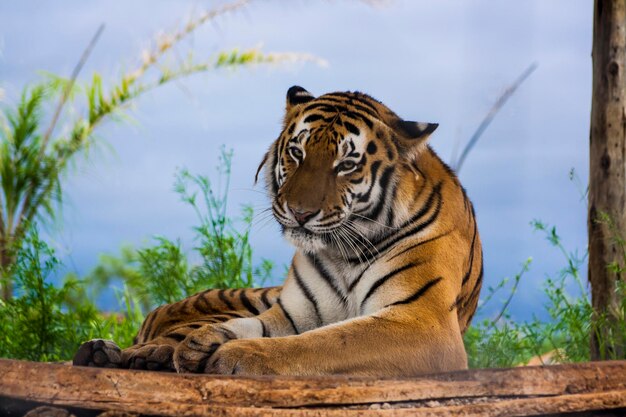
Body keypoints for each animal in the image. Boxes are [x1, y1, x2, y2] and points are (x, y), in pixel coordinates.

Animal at [74, 86, 482, 376]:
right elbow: (258, 326)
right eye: (297, 153)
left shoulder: (422, 321)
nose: (300, 213)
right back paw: (110, 353)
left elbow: (327, 341)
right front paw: (205, 342)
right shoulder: (292, 314)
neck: (343, 253)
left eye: (346, 164)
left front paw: (234, 355)